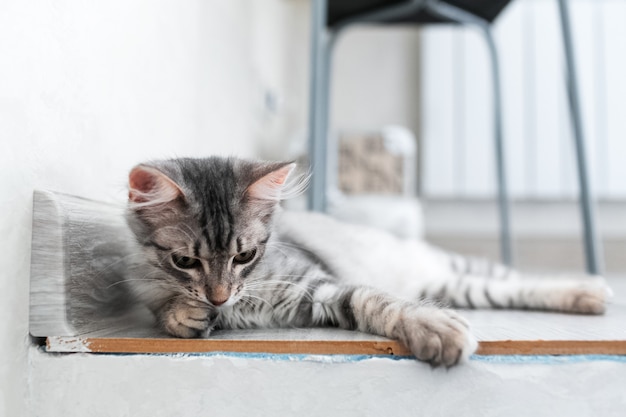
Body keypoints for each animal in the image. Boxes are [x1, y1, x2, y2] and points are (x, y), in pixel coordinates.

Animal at [125, 157, 608, 368]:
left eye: (246, 255)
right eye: (185, 260)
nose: (219, 297)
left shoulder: (317, 285)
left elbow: (378, 301)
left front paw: (434, 328)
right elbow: (166, 310)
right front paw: (183, 314)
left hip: (454, 271)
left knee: (519, 277)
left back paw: (593, 290)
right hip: (456, 286)